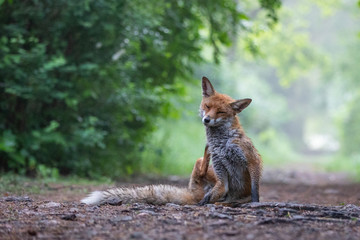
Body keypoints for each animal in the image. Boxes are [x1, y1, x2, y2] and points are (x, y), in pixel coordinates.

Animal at [198, 76, 262, 204]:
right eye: (208, 106)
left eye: (220, 112)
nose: (206, 119)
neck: (221, 143)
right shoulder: (219, 165)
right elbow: (220, 189)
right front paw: (204, 201)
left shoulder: (253, 159)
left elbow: (255, 191)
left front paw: (255, 202)